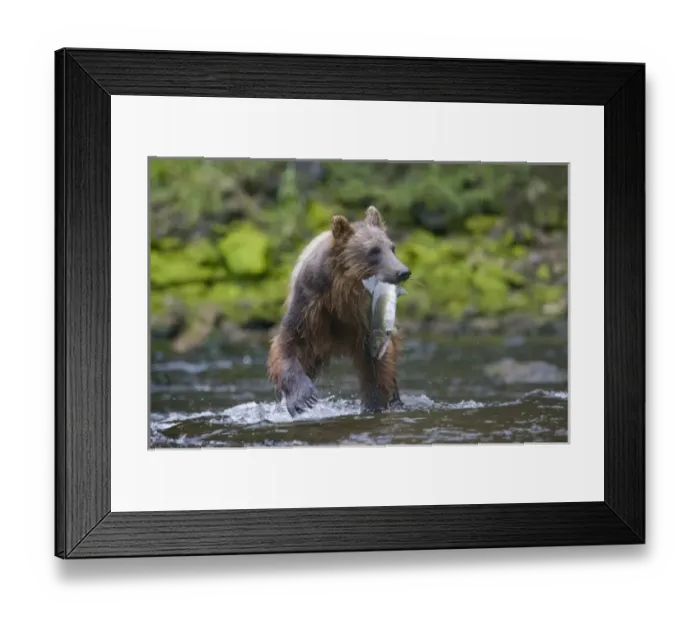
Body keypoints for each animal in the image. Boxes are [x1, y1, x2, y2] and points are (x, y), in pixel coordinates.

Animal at [267, 205, 412, 417]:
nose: (403, 271)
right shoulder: (309, 304)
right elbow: (287, 344)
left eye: (392, 247)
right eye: (374, 251)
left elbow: (377, 367)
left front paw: (374, 403)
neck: (341, 294)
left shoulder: (365, 321)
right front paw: (303, 398)